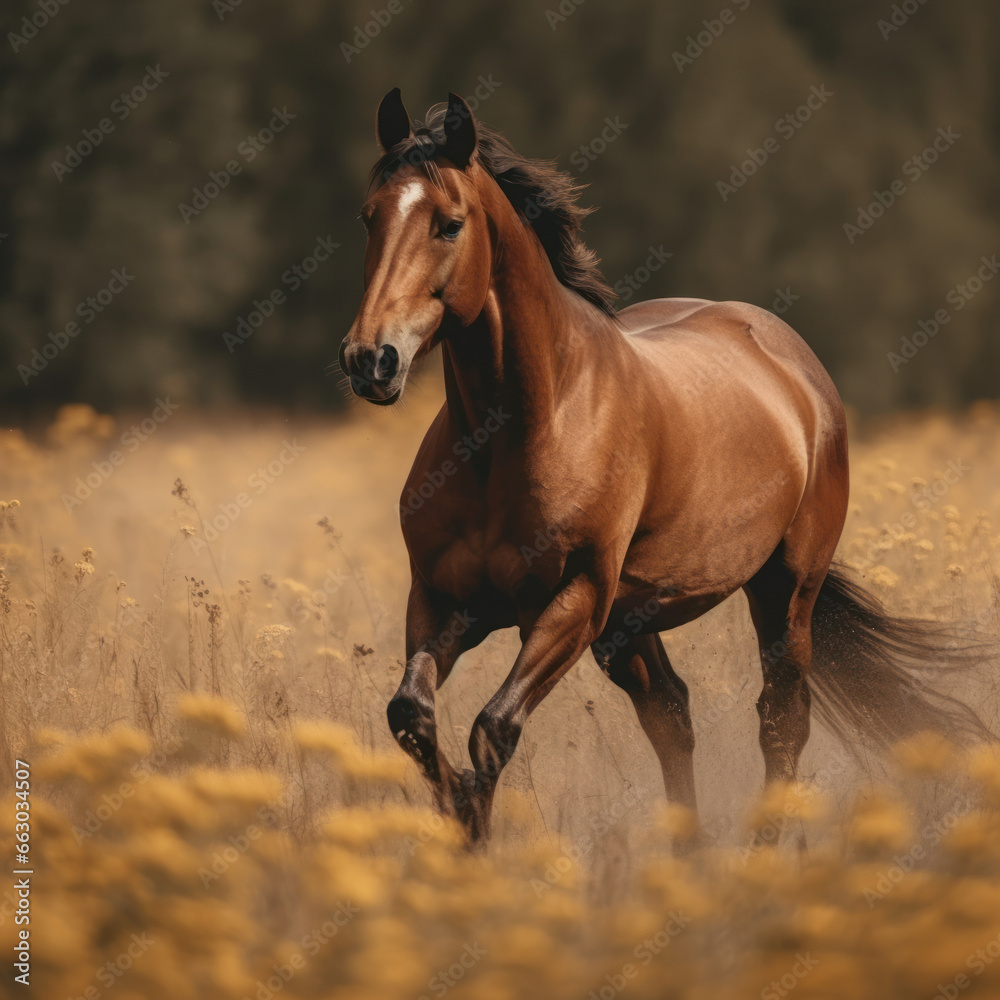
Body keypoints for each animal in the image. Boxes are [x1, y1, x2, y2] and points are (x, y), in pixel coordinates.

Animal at [339, 89, 990, 844]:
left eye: (449, 224)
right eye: (369, 216)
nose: (371, 360)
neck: (519, 433)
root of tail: (792, 362)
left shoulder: (573, 602)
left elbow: (491, 729)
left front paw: (475, 826)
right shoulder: (444, 601)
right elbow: (411, 718)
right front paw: (460, 824)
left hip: (783, 589)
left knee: (780, 721)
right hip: (635, 622)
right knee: (671, 716)